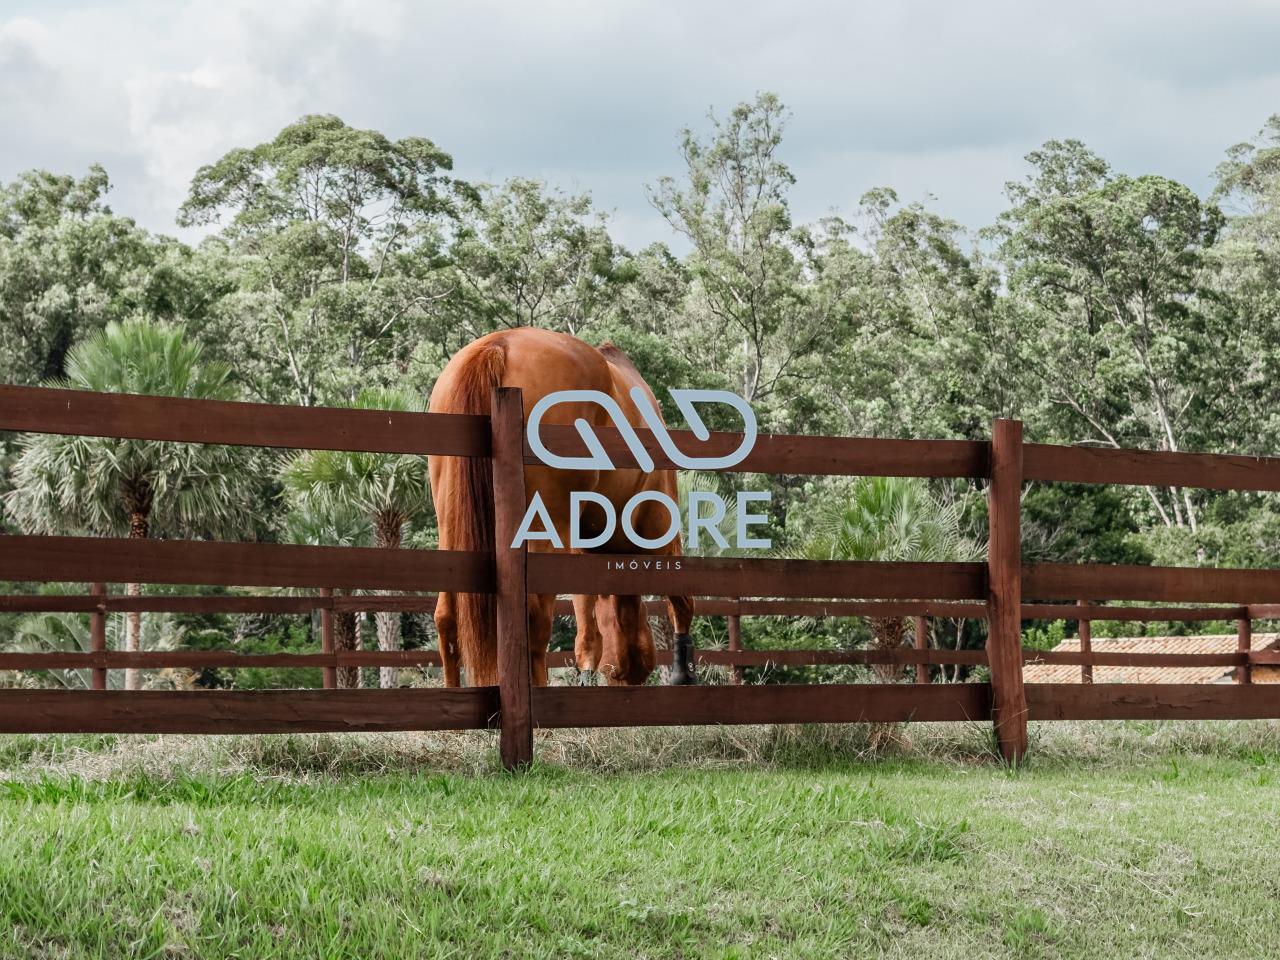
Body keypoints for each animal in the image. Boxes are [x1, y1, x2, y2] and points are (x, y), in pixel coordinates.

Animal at [428, 327, 696, 688]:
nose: (625, 678)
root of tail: (499, 345)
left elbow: (587, 623)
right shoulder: (660, 533)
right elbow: (682, 600)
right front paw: (683, 670)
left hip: (452, 525)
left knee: (447, 616)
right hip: (545, 527)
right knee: (535, 616)